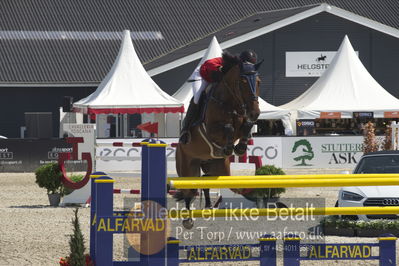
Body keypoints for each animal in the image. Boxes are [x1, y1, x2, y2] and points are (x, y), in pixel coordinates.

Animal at [174, 52, 262, 229]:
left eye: (258, 81)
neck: (230, 102)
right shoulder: (211, 130)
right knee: (189, 191)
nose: (255, 113)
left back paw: (208, 207)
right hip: (187, 166)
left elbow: (247, 126)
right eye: (243, 82)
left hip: (217, 167)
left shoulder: (242, 121)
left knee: (205, 182)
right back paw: (188, 220)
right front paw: (229, 148)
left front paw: (240, 147)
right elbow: (228, 128)